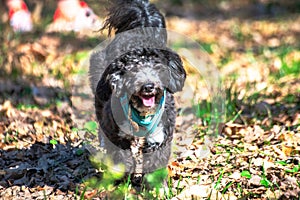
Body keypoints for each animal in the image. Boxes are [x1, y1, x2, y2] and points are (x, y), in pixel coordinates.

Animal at [89, 0, 186, 187]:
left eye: (157, 67)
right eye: (133, 70)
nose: (148, 86)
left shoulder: (159, 137)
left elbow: (155, 162)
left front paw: (156, 187)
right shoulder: (117, 136)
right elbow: (121, 158)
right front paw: (121, 182)